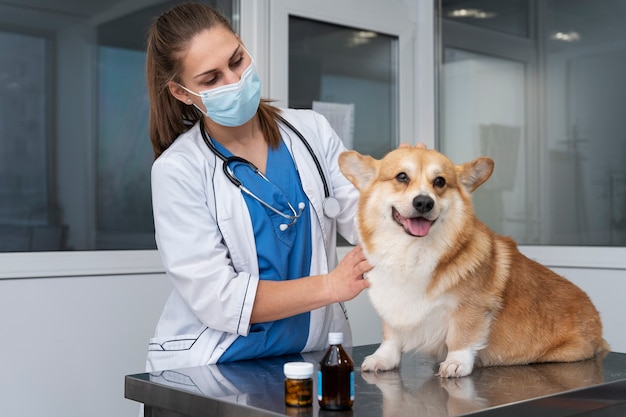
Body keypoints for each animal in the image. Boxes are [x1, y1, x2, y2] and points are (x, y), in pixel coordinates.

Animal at [338, 145, 608, 376]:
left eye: (440, 182)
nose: (424, 202)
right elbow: (391, 335)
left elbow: (461, 336)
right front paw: (383, 359)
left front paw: (456, 363)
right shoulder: (393, 306)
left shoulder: (470, 307)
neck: (412, 253)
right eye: (402, 177)